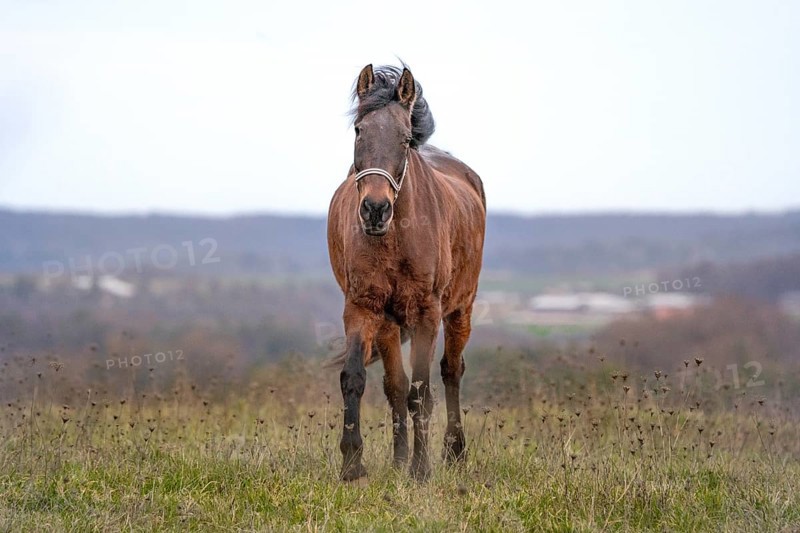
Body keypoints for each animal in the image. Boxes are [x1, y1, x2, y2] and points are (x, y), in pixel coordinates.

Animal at [327, 64, 486, 481]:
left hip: (461, 309)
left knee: (451, 371)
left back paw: (454, 452)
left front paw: (421, 469)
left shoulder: (427, 313)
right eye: (359, 130)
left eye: (403, 138)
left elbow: (422, 392)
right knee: (394, 385)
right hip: (388, 324)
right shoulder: (363, 308)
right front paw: (353, 463)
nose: (375, 209)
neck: (395, 238)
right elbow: (357, 379)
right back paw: (398, 460)